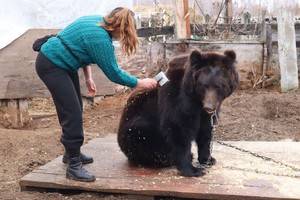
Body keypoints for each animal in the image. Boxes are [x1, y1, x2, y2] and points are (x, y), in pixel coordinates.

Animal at [117, 49, 239, 177]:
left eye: (218, 86)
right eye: (204, 85)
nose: (209, 106)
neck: (196, 100)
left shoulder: (207, 112)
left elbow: (206, 130)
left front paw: (208, 159)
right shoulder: (176, 99)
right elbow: (178, 130)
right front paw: (194, 170)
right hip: (138, 130)